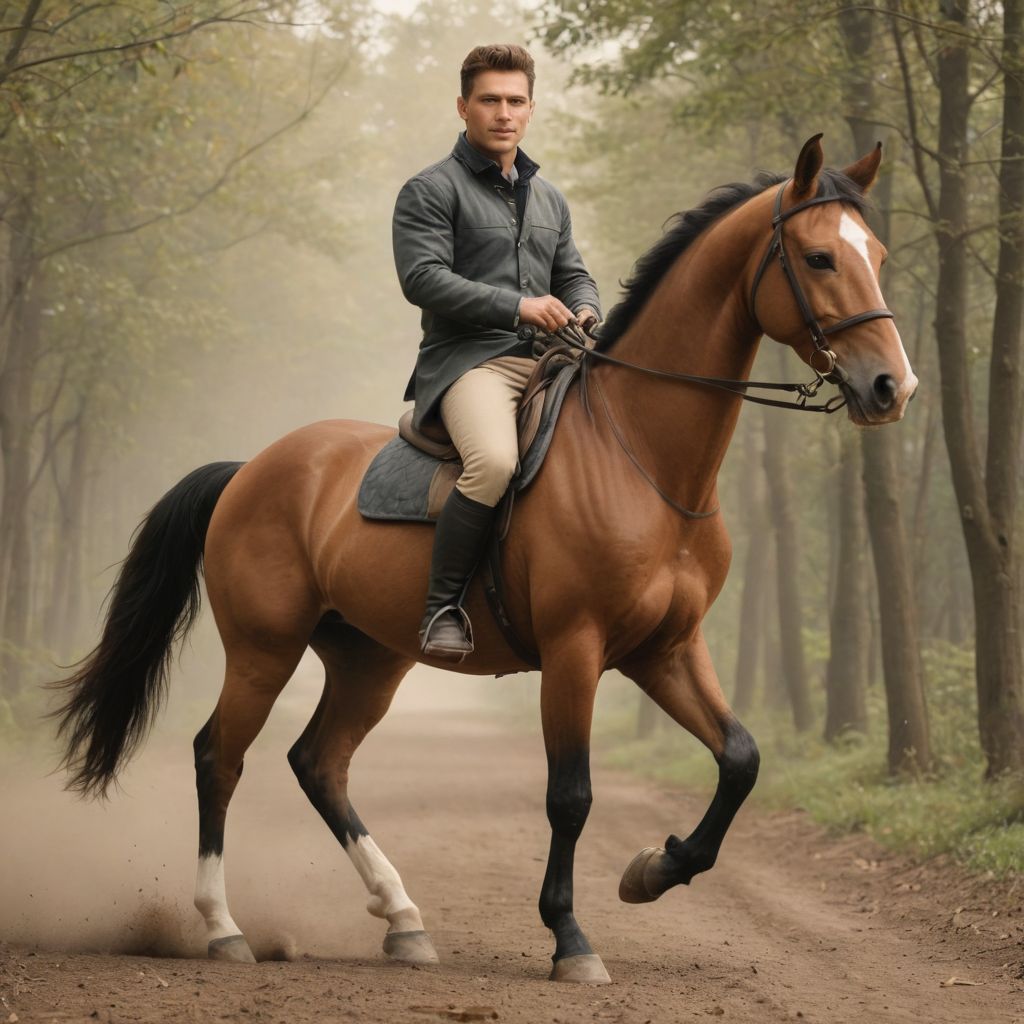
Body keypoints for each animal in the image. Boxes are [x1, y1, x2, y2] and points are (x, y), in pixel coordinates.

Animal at [53, 135, 917, 984]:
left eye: (875, 251)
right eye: (818, 258)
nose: (892, 387)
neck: (641, 458)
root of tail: (251, 469)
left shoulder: (667, 650)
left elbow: (740, 758)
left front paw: (652, 870)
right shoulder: (575, 650)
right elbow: (570, 795)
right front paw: (571, 938)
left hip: (369, 658)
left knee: (319, 763)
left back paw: (403, 919)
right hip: (265, 650)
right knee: (219, 758)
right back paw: (224, 927)